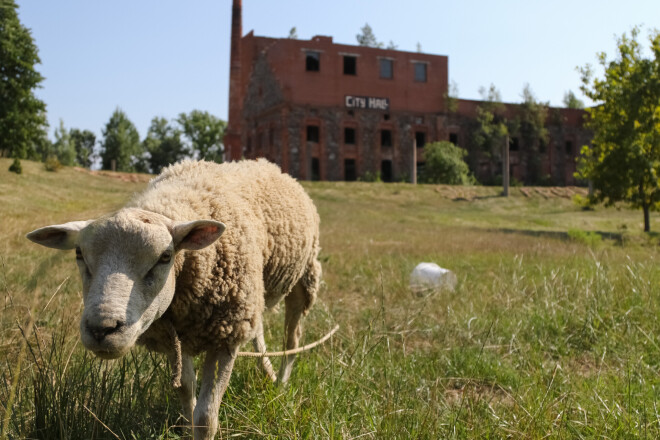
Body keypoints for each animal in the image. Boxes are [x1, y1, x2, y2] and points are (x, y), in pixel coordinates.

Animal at [25, 159, 322, 440]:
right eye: (79, 254)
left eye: (165, 256)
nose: (102, 329)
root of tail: (269, 164)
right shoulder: (174, 333)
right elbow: (186, 388)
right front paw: (186, 427)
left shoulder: (225, 336)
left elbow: (206, 417)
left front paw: (199, 427)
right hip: (252, 295)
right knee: (258, 327)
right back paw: (267, 370)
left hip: (303, 277)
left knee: (292, 339)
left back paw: (280, 382)